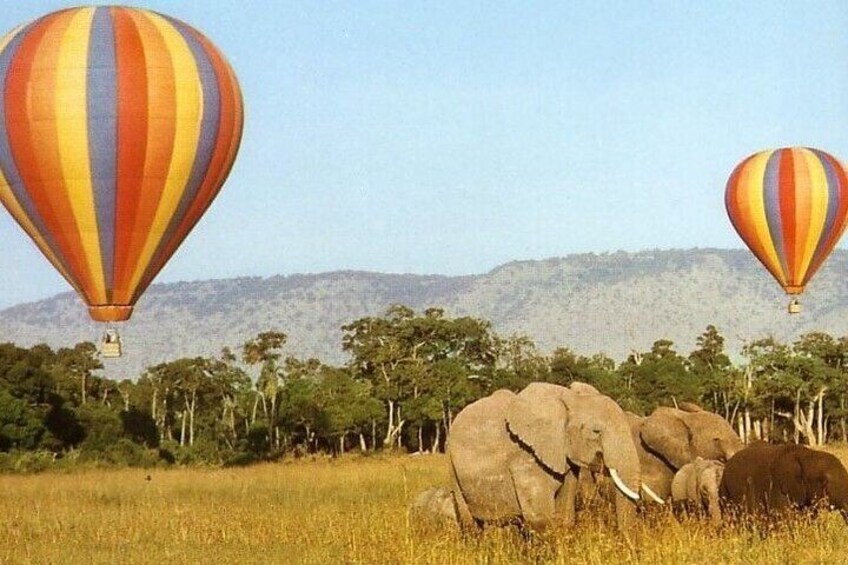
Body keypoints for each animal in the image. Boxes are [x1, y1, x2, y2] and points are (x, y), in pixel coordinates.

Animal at [447, 381, 642, 533]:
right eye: (596, 432)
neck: (571, 400)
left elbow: (565, 515)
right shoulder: (524, 456)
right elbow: (540, 519)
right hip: (452, 466)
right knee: (471, 525)